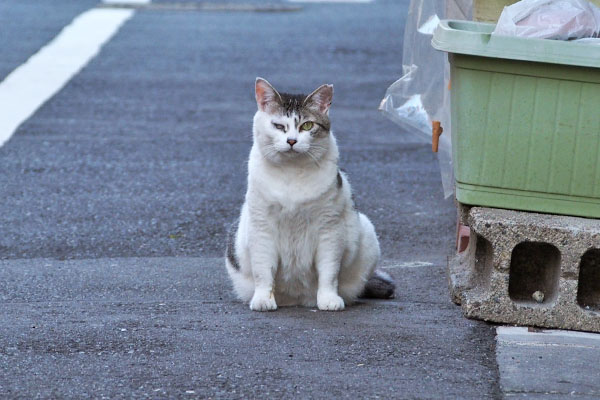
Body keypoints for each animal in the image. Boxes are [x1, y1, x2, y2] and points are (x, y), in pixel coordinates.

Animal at [225, 76, 394, 310]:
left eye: (307, 125)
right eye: (278, 126)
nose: (291, 141)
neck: (292, 173)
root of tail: (298, 299)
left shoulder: (329, 230)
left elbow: (329, 271)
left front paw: (329, 299)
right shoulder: (262, 228)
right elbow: (263, 270)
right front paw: (263, 299)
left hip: (367, 231)